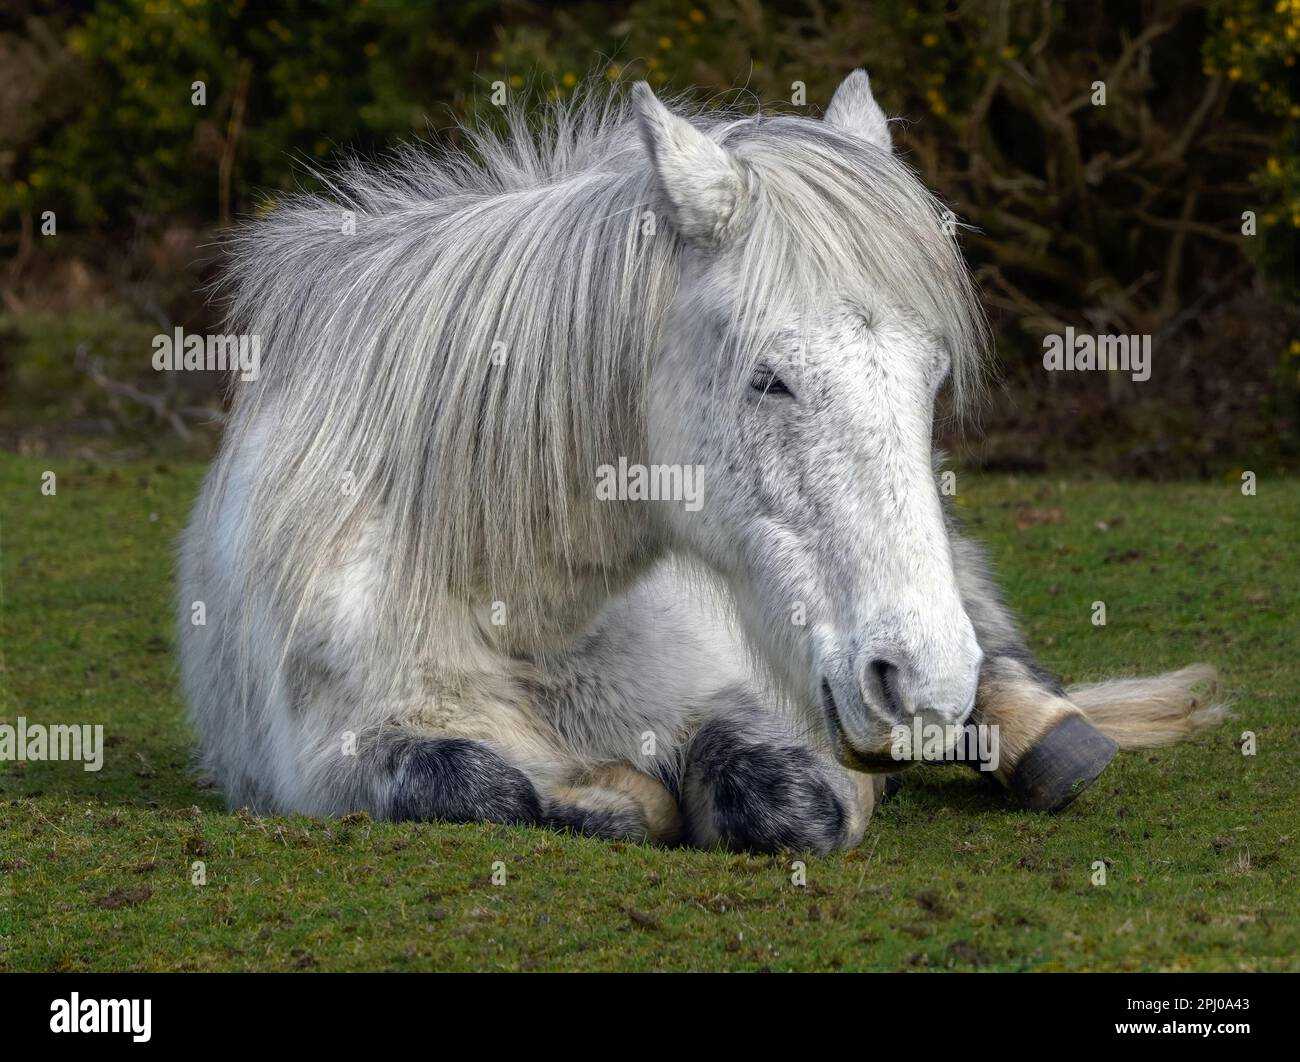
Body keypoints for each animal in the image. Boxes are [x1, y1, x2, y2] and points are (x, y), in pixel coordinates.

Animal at [178, 71, 1226, 853]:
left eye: (929, 377)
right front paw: (610, 795)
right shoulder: (337, 760)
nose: (918, 683)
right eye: (770, 380)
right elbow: (490, 789)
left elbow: (781, 798)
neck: (515, 603)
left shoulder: (731, 693)